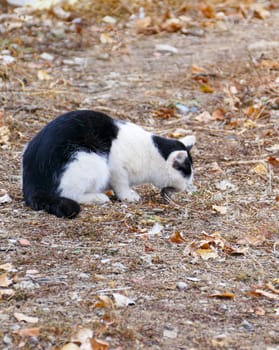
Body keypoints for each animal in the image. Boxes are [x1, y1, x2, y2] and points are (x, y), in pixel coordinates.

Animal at [21, 110, 196, 219]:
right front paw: (127, 196)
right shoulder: (116, 167)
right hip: (90, 160)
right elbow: (121, 183)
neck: (150, 154)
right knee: (69, 193)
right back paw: (98, 197)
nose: (187, 187)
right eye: (187, 176)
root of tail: (32, 180)